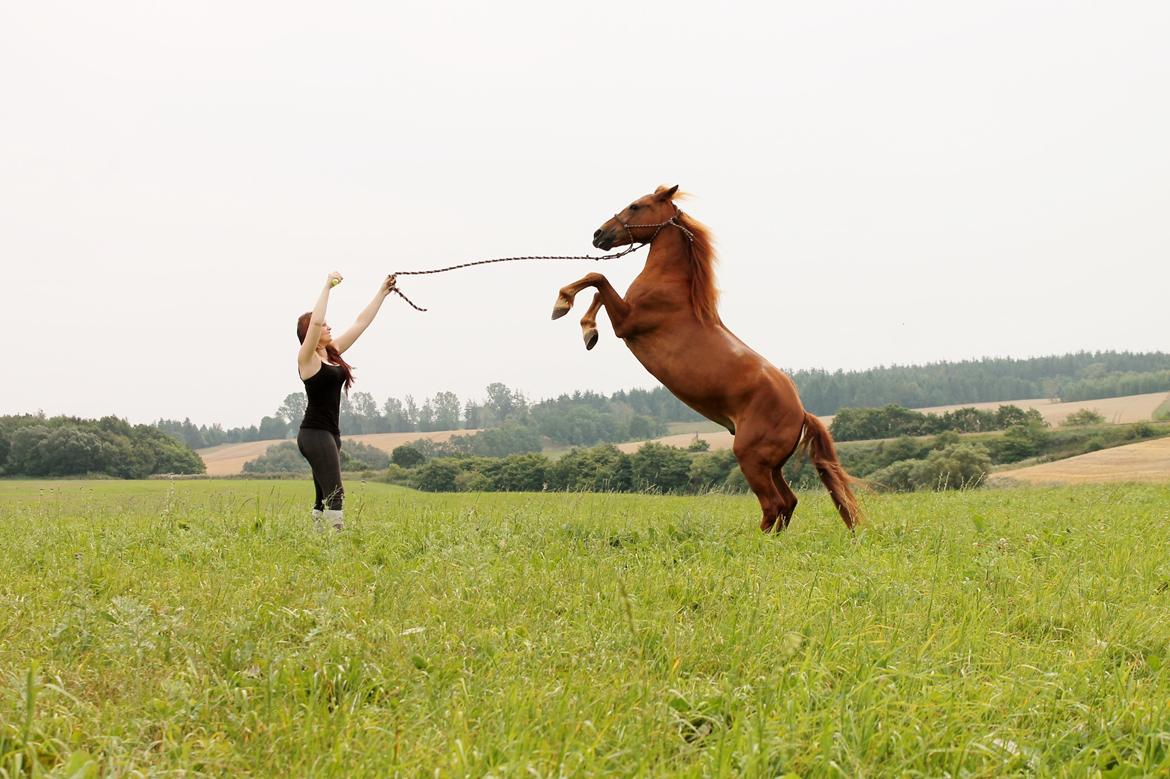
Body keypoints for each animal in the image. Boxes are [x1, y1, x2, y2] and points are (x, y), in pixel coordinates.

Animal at [547, 184, 861, 531]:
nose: (598, 234)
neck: (673, 286)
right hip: (772, 466)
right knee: (788, 503)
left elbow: (597, 278)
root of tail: (802, 413)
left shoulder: (627, 322)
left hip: (751, 459)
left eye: (636, 206)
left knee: (773, 505)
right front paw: (588, 332)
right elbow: (598, 290)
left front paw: (565, 306)